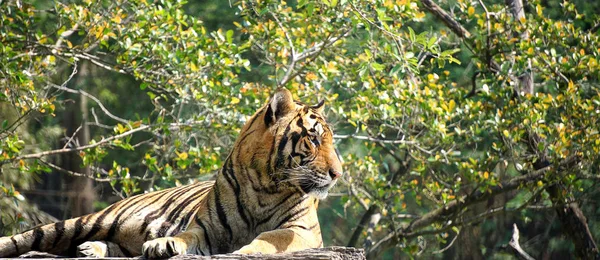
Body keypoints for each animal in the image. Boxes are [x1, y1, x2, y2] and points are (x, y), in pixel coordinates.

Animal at [0, 88, 342, 258]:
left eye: (330, 140)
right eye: (314, 139)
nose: (338, 173)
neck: (264, 183)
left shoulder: (301, 230)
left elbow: (269, 238)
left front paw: (247, 250)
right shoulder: (207, 228)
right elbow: (186, 234)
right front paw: (164, 244)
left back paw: (90, 250)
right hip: (87, 221)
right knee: (28, 238)